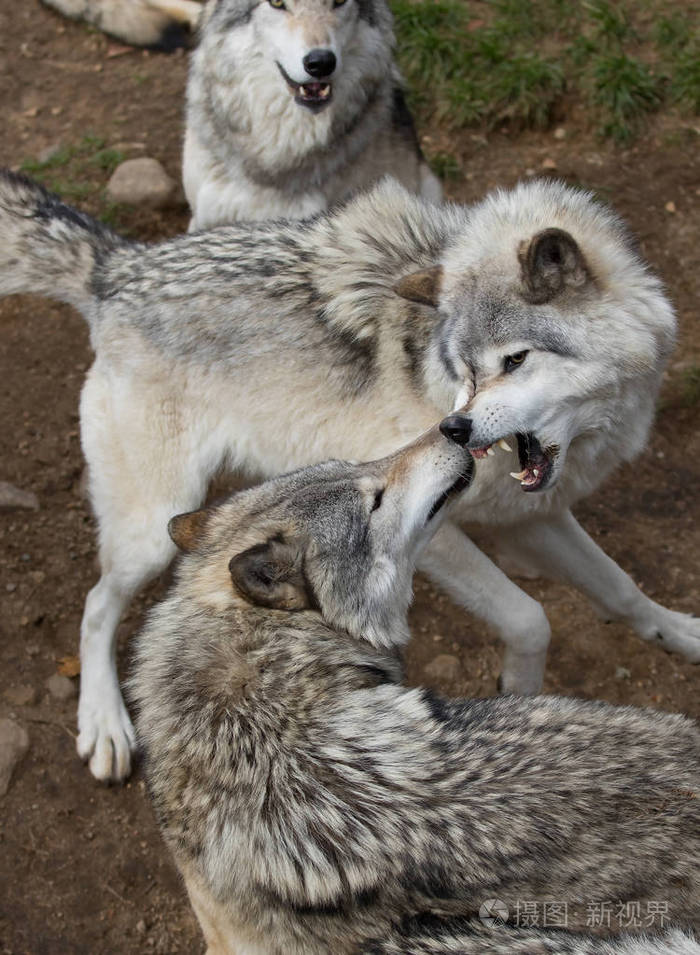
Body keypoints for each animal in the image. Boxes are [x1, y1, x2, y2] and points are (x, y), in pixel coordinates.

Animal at [0, 170, 696, 784]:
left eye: (514, 361)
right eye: (466, 370)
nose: (454, 429)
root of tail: (117, 267)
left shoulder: (531, 517)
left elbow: (620, 589)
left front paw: (683, 634)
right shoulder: (431, 530)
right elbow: (530, 617)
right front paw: (520, 689)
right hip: (150, 530)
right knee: (96, 606)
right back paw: (105, 727)